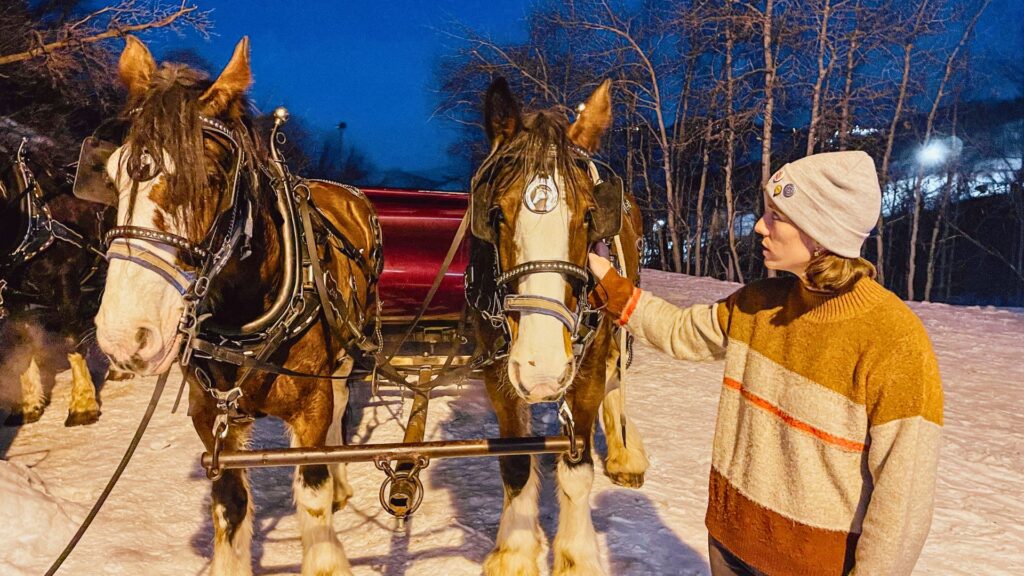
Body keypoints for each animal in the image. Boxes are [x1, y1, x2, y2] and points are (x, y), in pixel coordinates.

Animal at [90, 38, 380, 569]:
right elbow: (230, 503)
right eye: (113, 174)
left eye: (210, 176)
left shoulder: (312, 403)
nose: (124, 337)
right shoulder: (210, 414)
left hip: (351, 344)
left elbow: (312, 492)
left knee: (343, 403)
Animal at [466, 77, 647, 573]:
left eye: (588, 215)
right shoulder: (499, 372)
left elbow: (578, 467)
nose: (543, 368)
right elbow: (513, 463)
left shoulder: (585, 370)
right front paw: (515, 551)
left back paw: (625, 452)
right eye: (495, 214)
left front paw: (577, 556)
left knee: (616, 382)